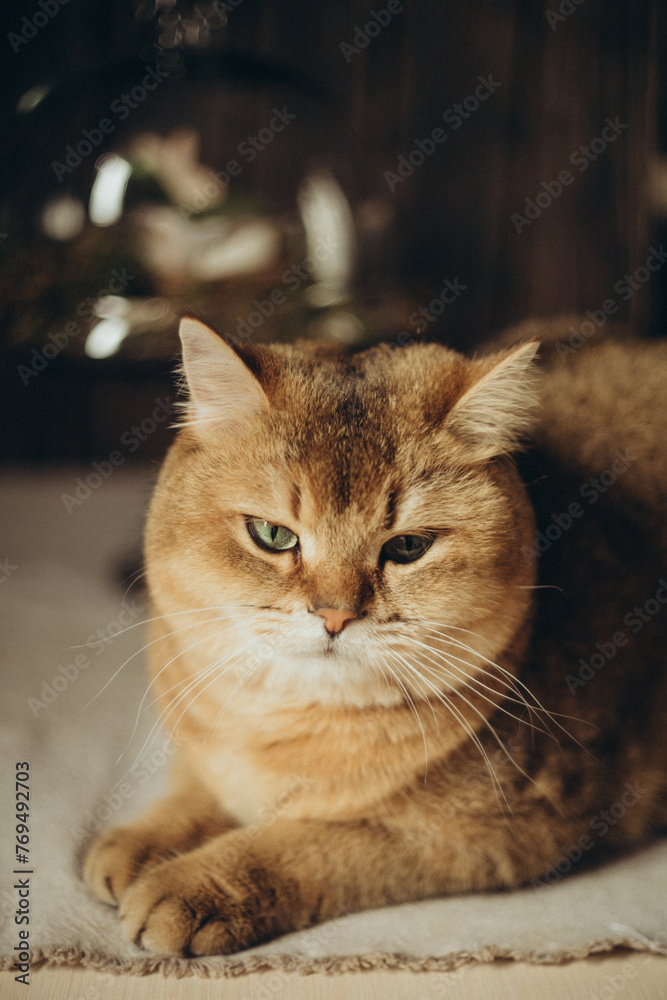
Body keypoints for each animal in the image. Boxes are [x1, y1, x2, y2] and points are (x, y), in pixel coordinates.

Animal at [82, 316, 667, 956]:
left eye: (408, 547)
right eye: (272, 535)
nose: (335, 615)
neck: (284, 722)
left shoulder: (504, 832)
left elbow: (312, 843)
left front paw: (199, 884)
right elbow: (200, 783)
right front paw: (146, 837)